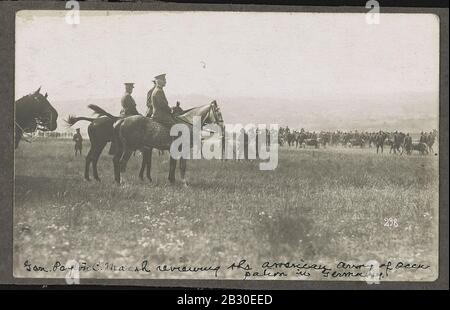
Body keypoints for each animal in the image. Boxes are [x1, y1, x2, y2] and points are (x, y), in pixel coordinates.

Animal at [86, 101, 223, 184]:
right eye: (218, 112)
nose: (222, 125)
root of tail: (122, 120)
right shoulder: (182, 149)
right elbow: (182, 166)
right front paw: (184, 183)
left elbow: (172, 165)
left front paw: (171, 181)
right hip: (125, 147)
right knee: (120, 163)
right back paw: (123, 183)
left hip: (119, 147)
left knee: (112, 160)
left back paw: (116, 180)